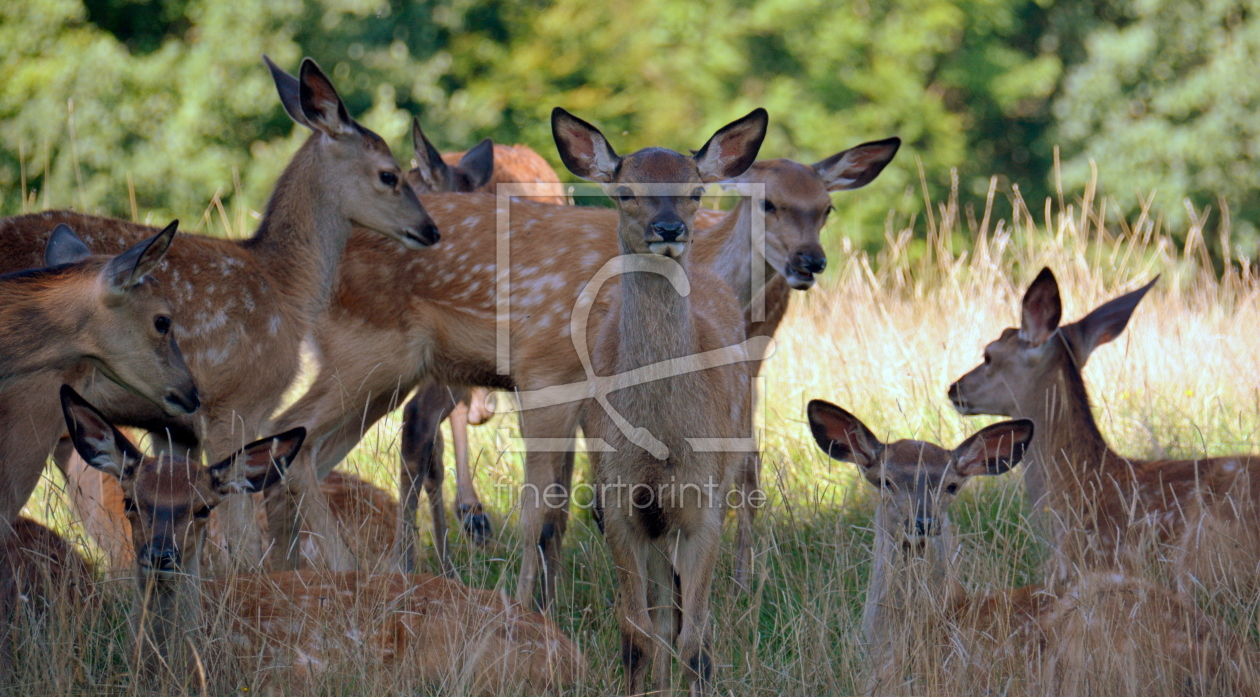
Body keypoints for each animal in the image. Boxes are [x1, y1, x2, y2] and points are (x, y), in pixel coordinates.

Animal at [0, 55, 438, 569]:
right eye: (390, 174)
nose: (429, 229)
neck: (288, 290)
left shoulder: (176, 425)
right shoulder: (237, 404)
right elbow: (245, 543)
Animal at [551, 105, 766, 690]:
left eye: (694, 190)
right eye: (625, 191)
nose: (669, 228)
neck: (661, 443)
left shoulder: (703, 509)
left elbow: (694, 640)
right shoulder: (620, 506)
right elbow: (635, 636)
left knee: (679, 620)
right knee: (657, 619)